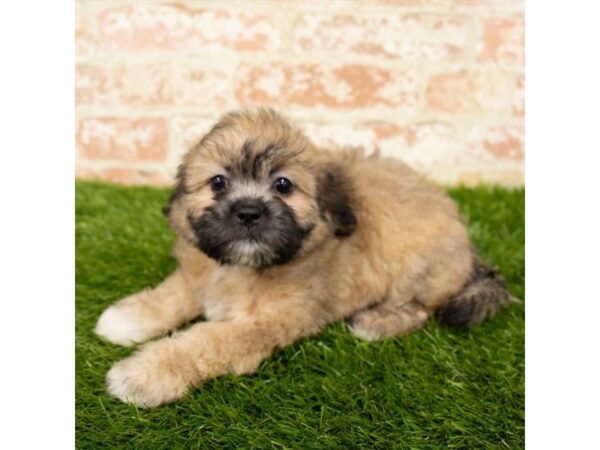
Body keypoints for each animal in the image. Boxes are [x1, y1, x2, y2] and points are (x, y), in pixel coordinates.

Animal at [96, 108, 508, 408]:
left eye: (283, 185)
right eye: (217, 182)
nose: (248, 212)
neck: (244, 269)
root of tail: (467, 246)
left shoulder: (263, 323)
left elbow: (203, 342)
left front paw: (144, 373)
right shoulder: (199, 273)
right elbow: (173, 293)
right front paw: (128, 317)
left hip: (423, 265)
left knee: (421, 306)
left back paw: (377, 322)